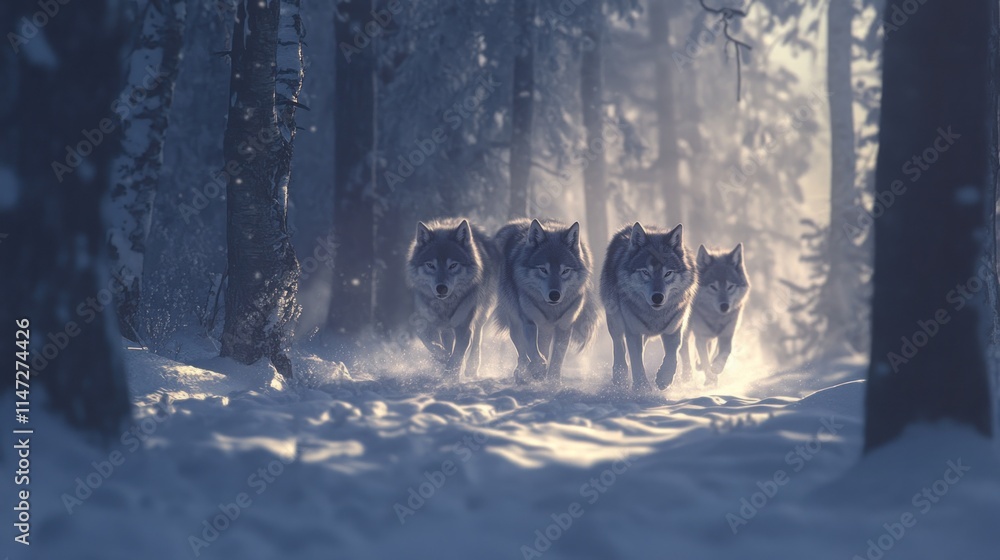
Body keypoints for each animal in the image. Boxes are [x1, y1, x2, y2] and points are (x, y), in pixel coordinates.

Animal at [406, 218, 498, 379]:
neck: (445, 306)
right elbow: (432, 345)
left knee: (477, 338)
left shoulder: (464, 327)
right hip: (447, 329)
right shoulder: (425, 325)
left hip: (481, 315)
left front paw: (450, 376)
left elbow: (457, 356)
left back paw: (471, 368)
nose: (441, 288)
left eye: (453, 265)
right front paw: (443, 359)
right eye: (431, 265)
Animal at [494, 219, 598, 383]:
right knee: (522, 351)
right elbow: (532, 349)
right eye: (543, 269)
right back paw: (522, 373)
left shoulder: (564, 326)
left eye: (565, 271)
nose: (554, 295)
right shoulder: (528, 321)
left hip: (546, 329)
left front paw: (553, 383)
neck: (551, 310)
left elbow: (556, 360)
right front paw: (538, 367)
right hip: (516, 322)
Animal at [600, 223, 697, 391]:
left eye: (668, 273)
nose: (657, 297)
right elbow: (636, 360)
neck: (655, 316)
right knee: (619, 347)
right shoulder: (633, 331)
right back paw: (620, 378)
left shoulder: (674, 328)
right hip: (615, 321)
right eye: (645, 272)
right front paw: (641, 388)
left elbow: (672, 354)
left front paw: (664, 379)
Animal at [680, 244, 750, 386]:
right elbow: (705, 359)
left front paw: (716, 367)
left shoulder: (726, 335)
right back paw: (687, 375)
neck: (717, 318)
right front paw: (710, 379)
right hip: (686, 329)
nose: (724, 306)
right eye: (713, 287)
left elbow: (724, 352)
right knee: (683, 350)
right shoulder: (701, 337)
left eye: (730, 287)